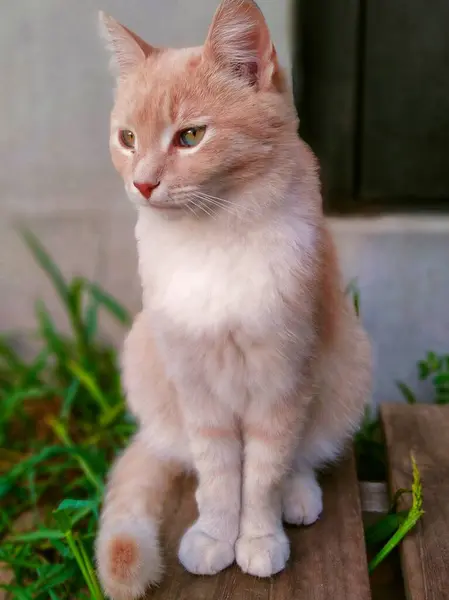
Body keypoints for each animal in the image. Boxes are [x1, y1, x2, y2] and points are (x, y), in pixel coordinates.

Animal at [95, 2, 372, 596]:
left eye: (191, 136)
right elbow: (221, 475)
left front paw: (260, 537)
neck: (212, 239)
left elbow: (263, 474)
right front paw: (216, 535)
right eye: (127, 138)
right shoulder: (197, 390)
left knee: (302, 455)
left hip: (348, 366)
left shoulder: (283, 382)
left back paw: (299, 493)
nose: (142, 184)